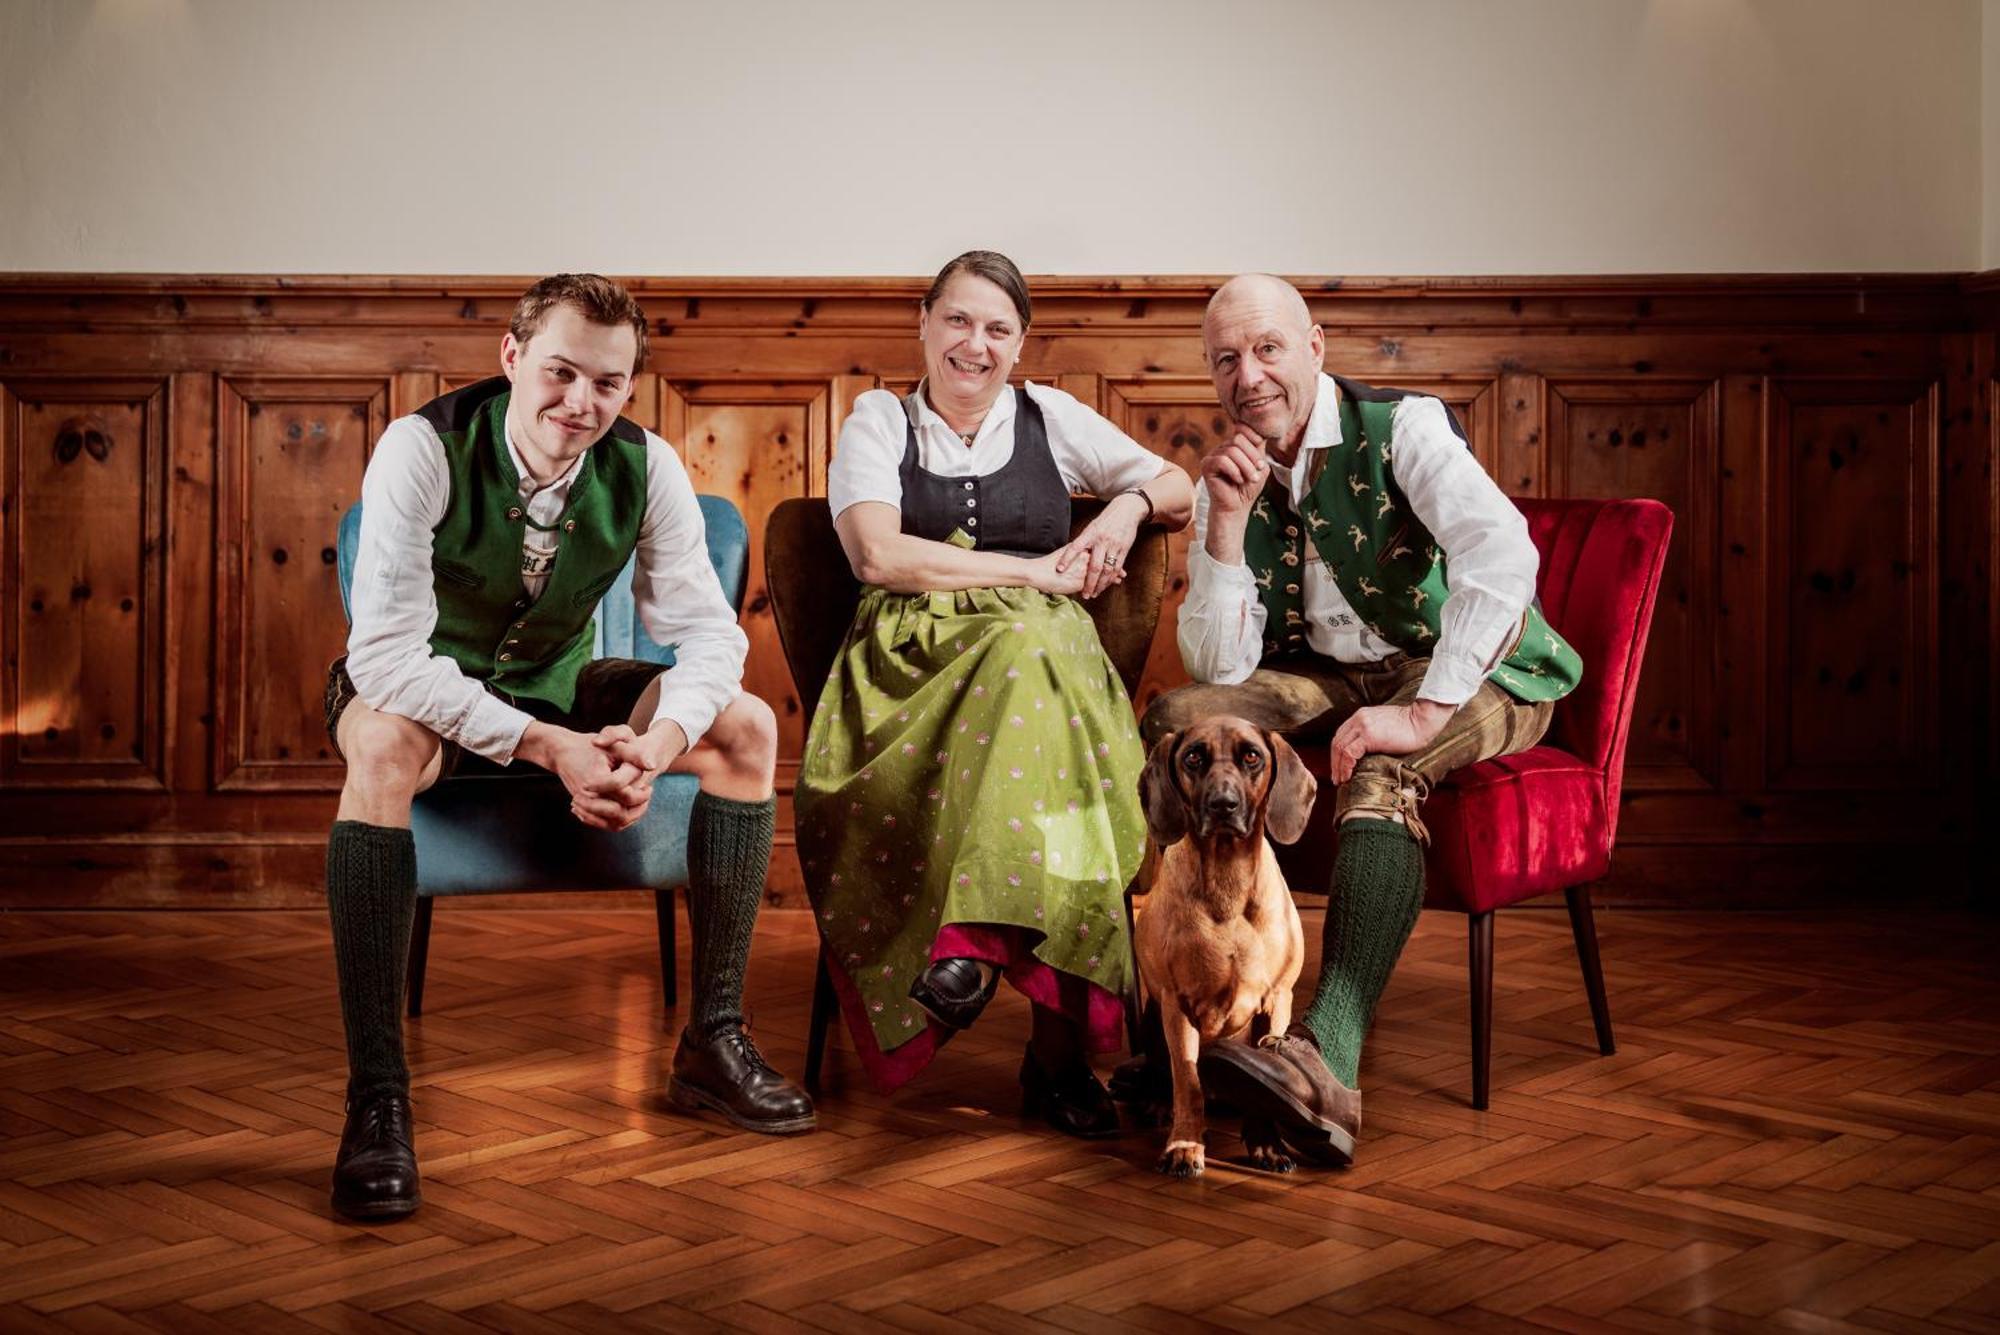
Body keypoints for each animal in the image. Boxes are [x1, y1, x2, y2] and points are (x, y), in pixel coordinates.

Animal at [1144, 715, 1312, 1175]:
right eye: (1193, 757)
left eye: (1252, 756)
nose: (1223, 804)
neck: (1227, 879)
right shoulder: (1176, 1004)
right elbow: (1187, 1081)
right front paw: (1185, 1145)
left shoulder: (1277, 1000)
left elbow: (1264, 1080)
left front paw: (1266, 1143)